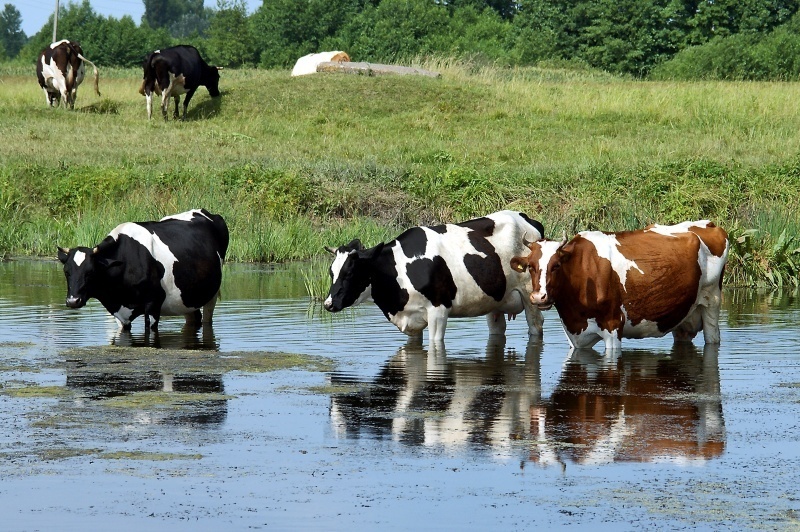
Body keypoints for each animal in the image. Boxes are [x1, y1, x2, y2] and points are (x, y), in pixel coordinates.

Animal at [56, 210, 228, 330]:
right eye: (66, 272)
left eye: (91, 272)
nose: (73, 301)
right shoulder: (119, 314)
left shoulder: (153, 304)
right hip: (187, 296)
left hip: (211, 293)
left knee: (206, 319)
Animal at [324, 209, 544, 344]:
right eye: (331, 271)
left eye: (350, 272)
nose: (328, 304)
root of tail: (526, 218)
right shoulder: (411, 319)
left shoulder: (438, 311)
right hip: (495, 299)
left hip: (530, 295)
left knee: (536, 327)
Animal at [510, 218, 728, 352]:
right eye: (530, 267)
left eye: (556, 265)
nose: (539, 297)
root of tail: (709, 224)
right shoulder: (575, 336)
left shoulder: (613, 325)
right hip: (681, 316)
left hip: (712, 302)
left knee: (713, 336)